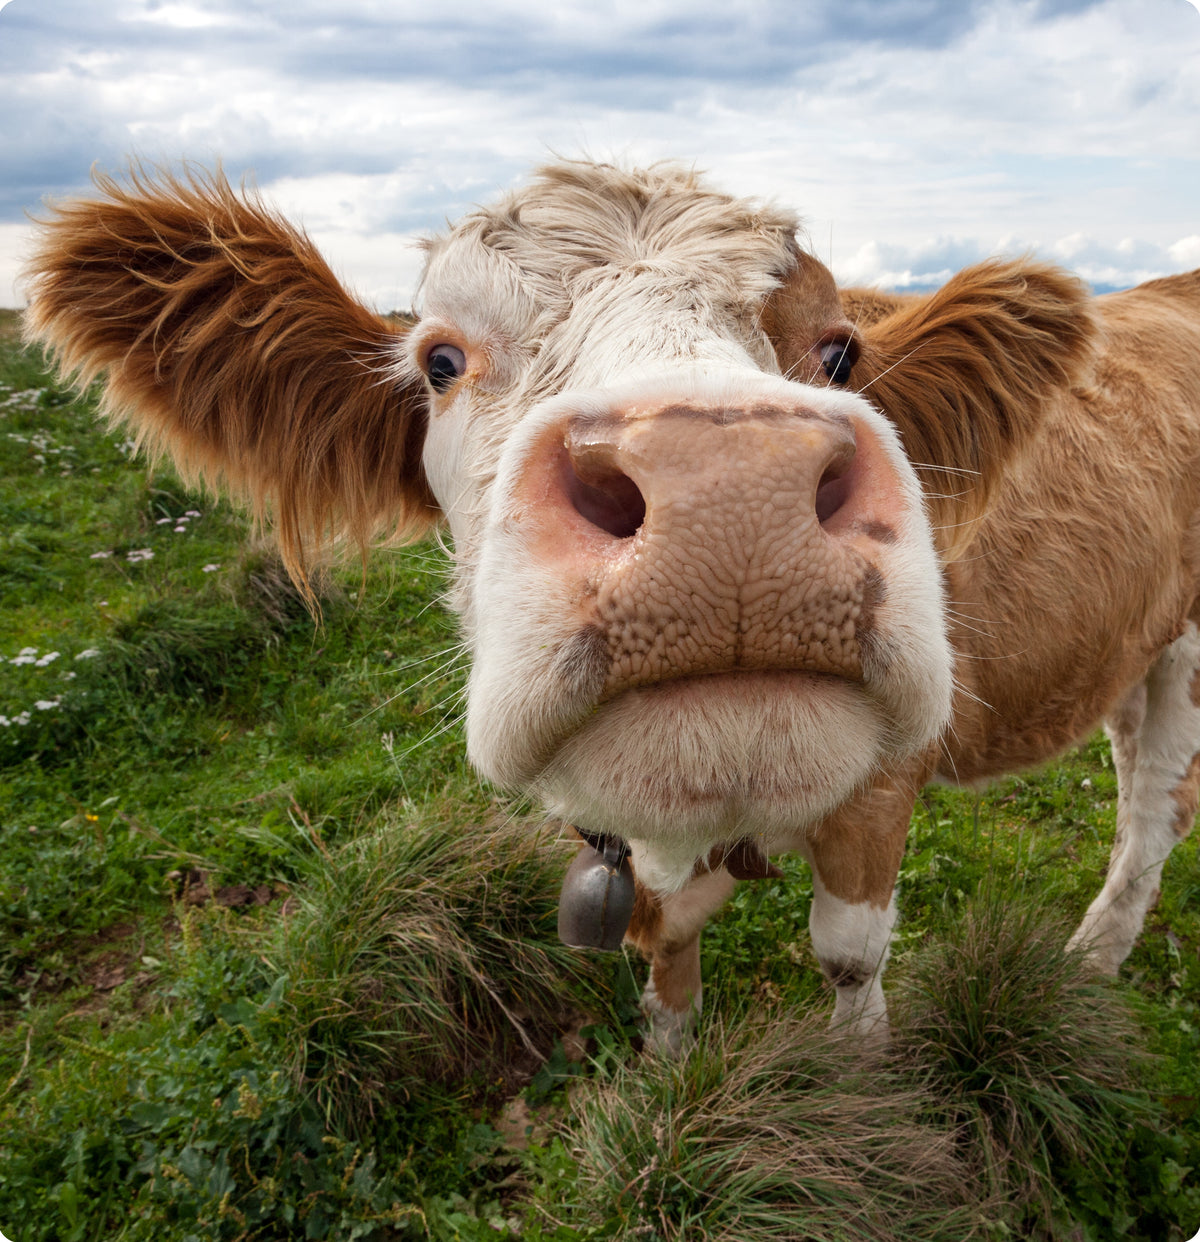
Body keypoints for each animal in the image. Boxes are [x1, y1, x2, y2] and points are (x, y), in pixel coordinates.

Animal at [23, 160, 1200, 1053]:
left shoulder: (883, 783)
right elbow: (664, 953)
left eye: (837, 350)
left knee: (1153, 804)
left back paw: (1091, 960)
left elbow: (848, 959)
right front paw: (666, 1069)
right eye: (440, 359)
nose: (727, 490)